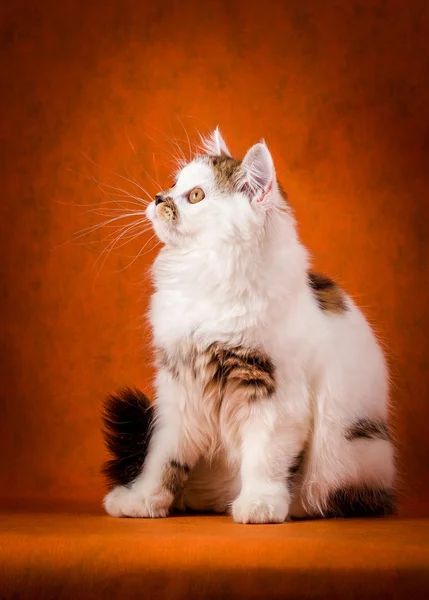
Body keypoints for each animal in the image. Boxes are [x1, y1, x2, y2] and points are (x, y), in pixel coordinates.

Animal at [101, 129, 394, 524]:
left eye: (195, 196)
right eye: (174, 184)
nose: (159, 197)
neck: (207, 274)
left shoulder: (274, 395)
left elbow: (263, 460)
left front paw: (260, 504)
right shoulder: (178, 391)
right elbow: (162, 460)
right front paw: (143, 500)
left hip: (354, 451)